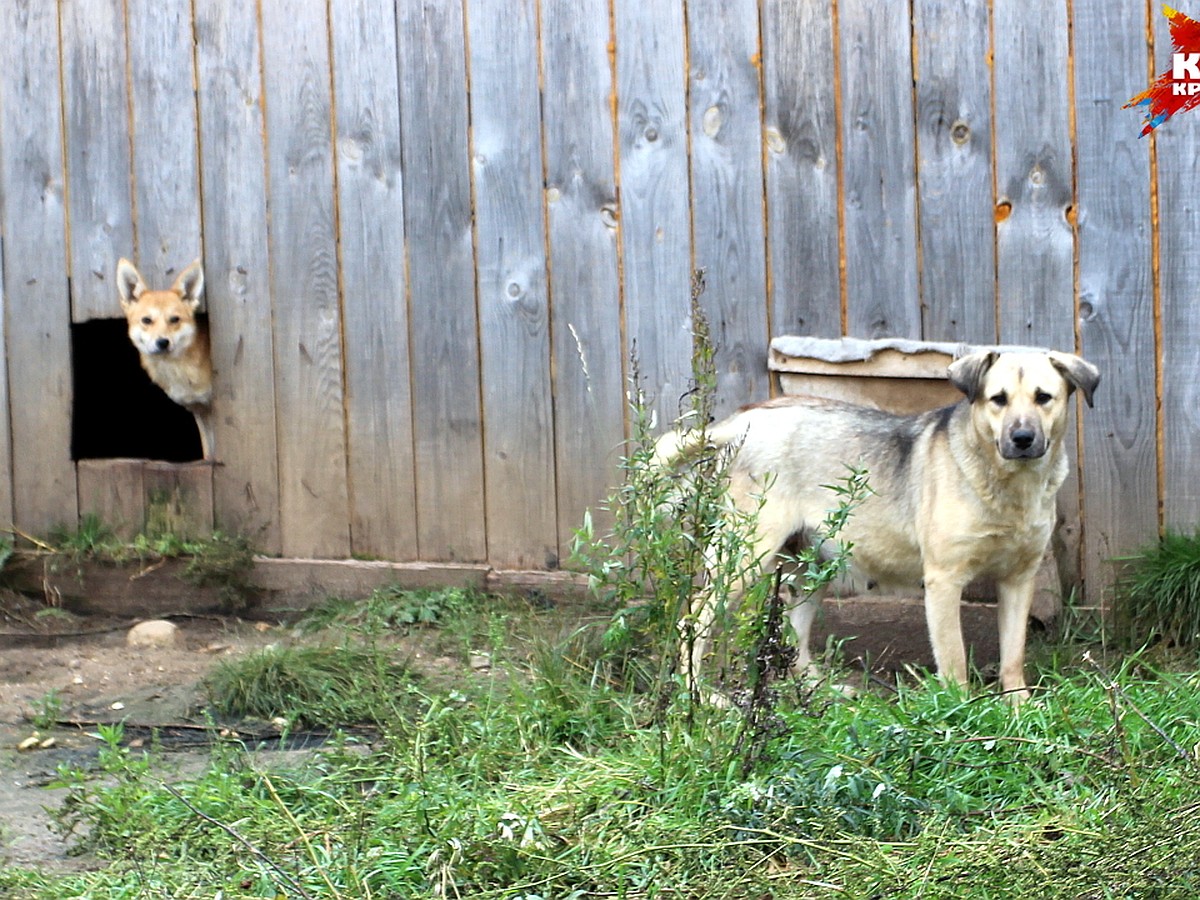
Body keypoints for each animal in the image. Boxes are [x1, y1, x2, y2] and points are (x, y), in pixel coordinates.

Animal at [652, 348, 1099, 700]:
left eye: (1044, 398)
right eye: (998, 400)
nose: (1022, 439)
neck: (1009, 484)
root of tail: (746, 419)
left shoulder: (1018, 581)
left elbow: (1013, 655)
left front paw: (1017, 707)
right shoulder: (944, 581)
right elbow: (954, 660)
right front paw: (961, 714)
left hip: (812, 567)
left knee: (796, 636)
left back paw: (819, 689)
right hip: (743, 560)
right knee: (691, 621)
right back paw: (700, 698)